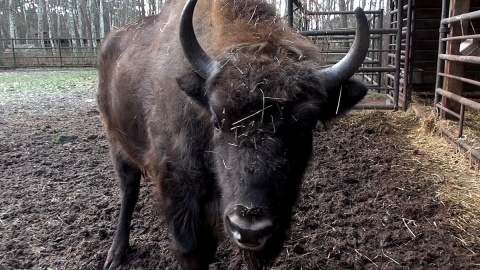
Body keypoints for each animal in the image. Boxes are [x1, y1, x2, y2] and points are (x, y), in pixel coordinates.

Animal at [96, 0, 368, 268]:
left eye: (306, 125)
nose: (248, 228)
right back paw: (116, 255)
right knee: (129, 190)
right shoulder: (180, 194)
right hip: (116, 142)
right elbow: (192, 251)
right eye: (217, 121)